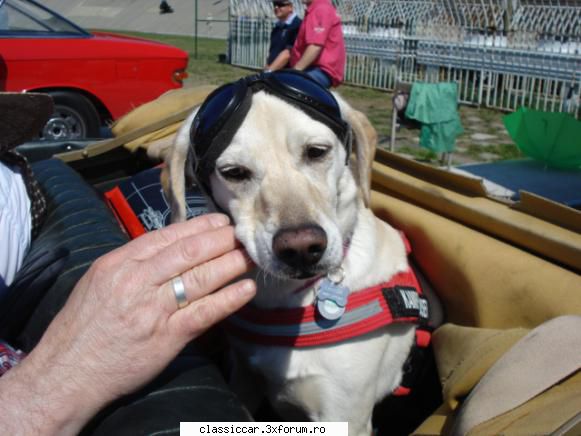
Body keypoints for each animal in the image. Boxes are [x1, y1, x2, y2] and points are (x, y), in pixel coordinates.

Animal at [163, 72, 440, 436]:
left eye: (317, 152)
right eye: (234, 172)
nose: (301, 249)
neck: (289, 301)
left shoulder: (344, 416)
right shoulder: (244, 380)